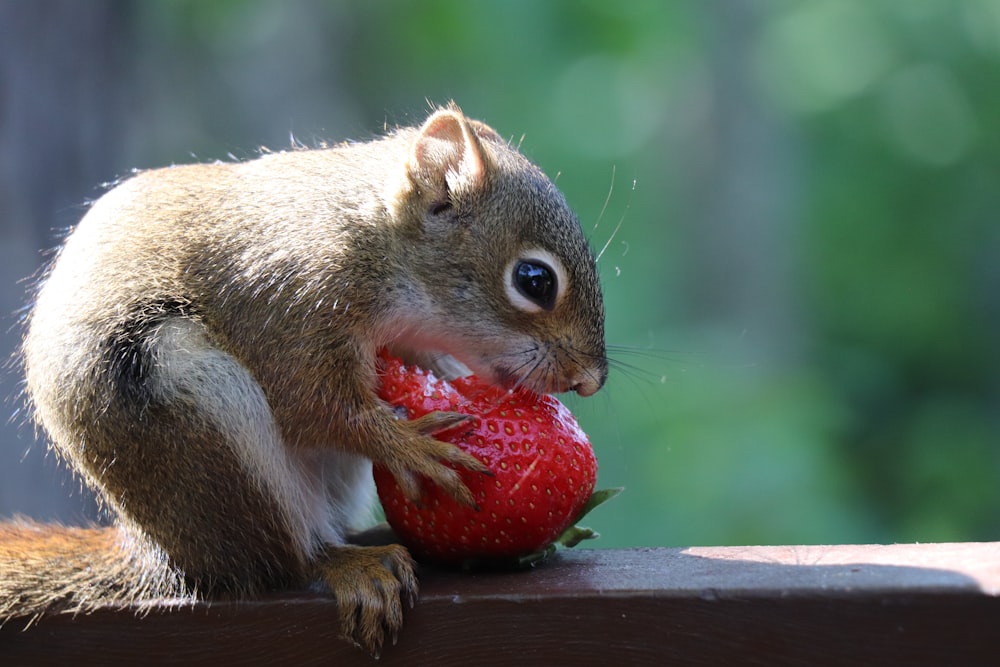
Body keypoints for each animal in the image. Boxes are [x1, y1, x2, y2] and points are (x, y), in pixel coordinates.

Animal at [0, 104, 608, 656]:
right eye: (534, 280)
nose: (592, 381)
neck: (374, 240)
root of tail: (163, 553)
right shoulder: (290, 303)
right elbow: (313, 406)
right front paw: (409, 446)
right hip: (190, 408)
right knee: (282, 562)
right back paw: (342, 563)